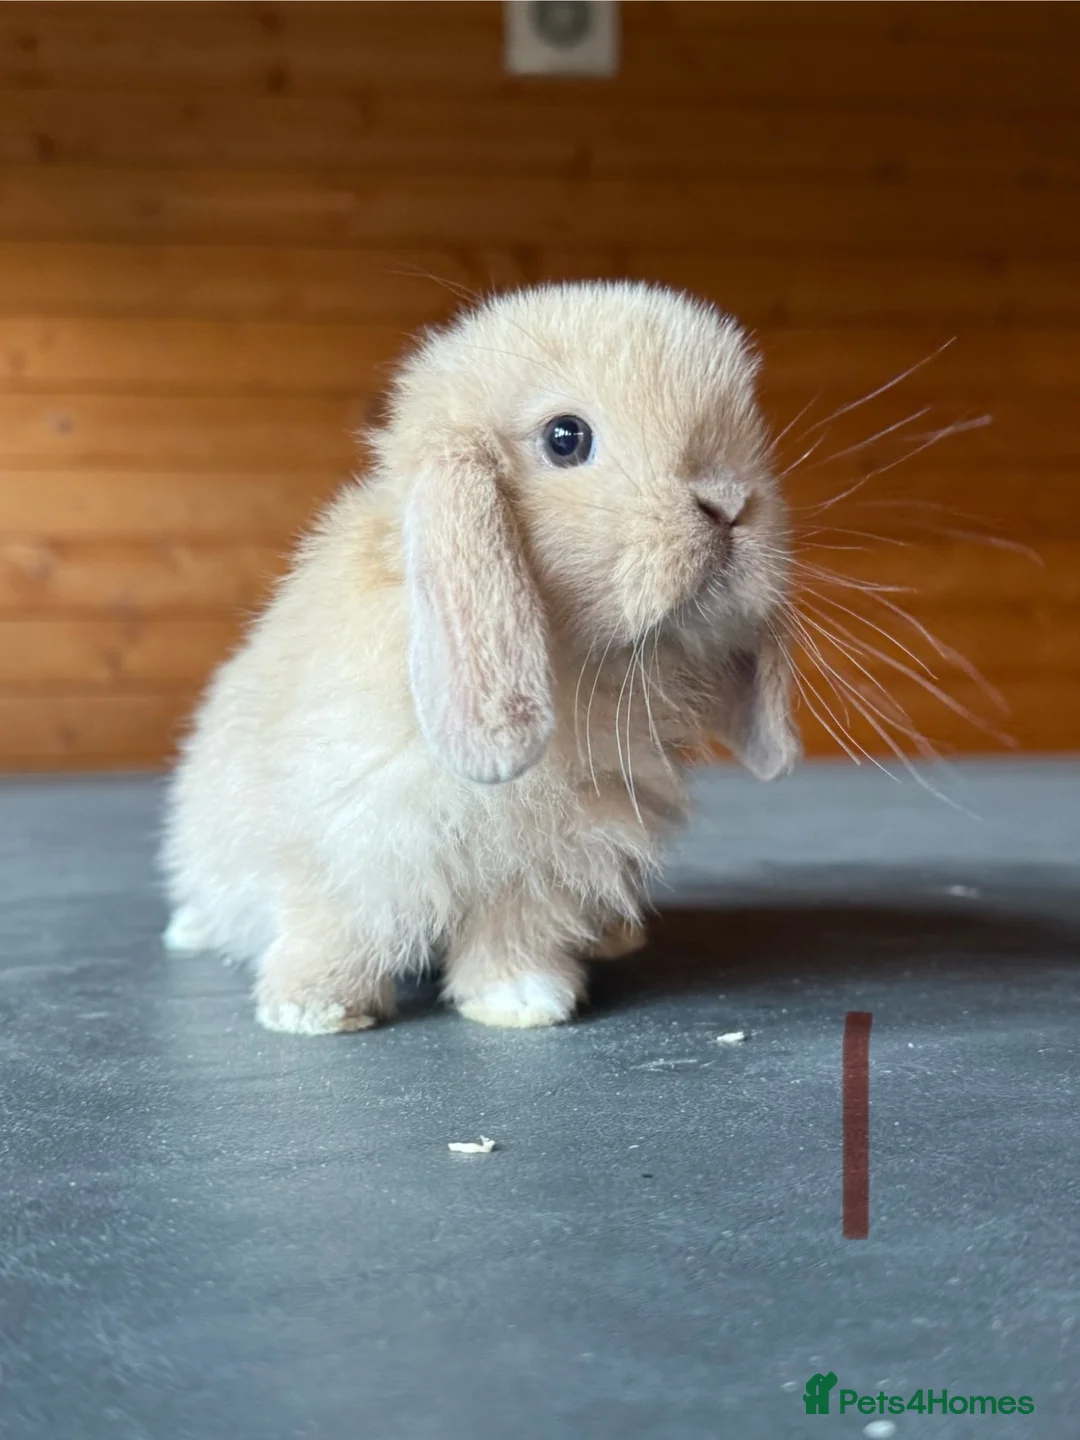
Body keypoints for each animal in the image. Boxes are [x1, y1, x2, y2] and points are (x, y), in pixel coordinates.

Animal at [159, 281, 800, 1035]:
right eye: (565, 438)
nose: (730, 503)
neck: (573, 664)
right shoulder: (342, 839)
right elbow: (334, 924)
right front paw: (313, 1008)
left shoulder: (553, 858)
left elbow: (514, 931)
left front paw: (522, 1002)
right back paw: (193, 931)